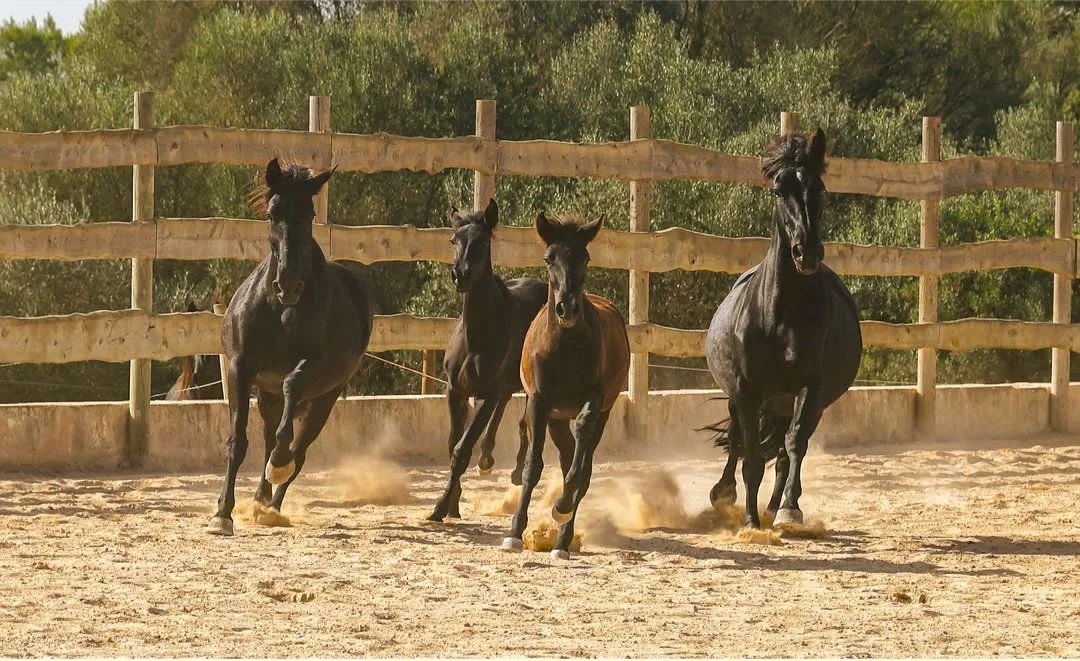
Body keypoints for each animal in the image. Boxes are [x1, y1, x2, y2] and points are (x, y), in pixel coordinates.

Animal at [206, 158, 373, 536]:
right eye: (272, 213)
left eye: (309, 213)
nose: (289, 285)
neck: (279, 310)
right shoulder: (240, 368)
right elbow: (238, 442)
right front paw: (222, 513)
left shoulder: (314, 367)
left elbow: (292, 390)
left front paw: (278, 466)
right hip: (267, 396)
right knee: (272, 437)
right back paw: (260, 499)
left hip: (324, 398)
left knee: (299, 448)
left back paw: (272, 503)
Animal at [427, 200, 547, 522]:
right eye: (453, 240)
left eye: (482, 242)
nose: (461, 275)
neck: (476, 335)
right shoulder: (455, 390)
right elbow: (452, 445)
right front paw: (453, 504)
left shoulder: (486, 393)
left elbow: (461, 449)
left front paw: (440, 508)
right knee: (505, 409)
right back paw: (487, 457)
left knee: (522, 421)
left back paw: (514, 469)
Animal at [501, 213, 630, 560]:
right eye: (549, 259)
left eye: (584, 257)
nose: (567, 309)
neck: (564, 347)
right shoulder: (539, 402)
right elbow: (532, 466)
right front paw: (514, 533)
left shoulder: (595, 400)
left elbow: (580, 463)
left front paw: (560, 507)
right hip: (557, 419)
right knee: (566, 455)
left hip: (601, 412)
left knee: (581, 464)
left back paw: (562, 538)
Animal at [703, 129, 862, 529]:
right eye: (778, 190)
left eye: (819, 188)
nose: (807, 252)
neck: (782, 316)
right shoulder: (746, 390)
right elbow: (750, 455)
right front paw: (749, 521)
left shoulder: (811, 388)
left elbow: (793, 446)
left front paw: (789, 510)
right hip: (744, 398)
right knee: (739, 440)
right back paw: (724, 493)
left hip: (797, 403)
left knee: (786, 450)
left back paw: (776, 507)